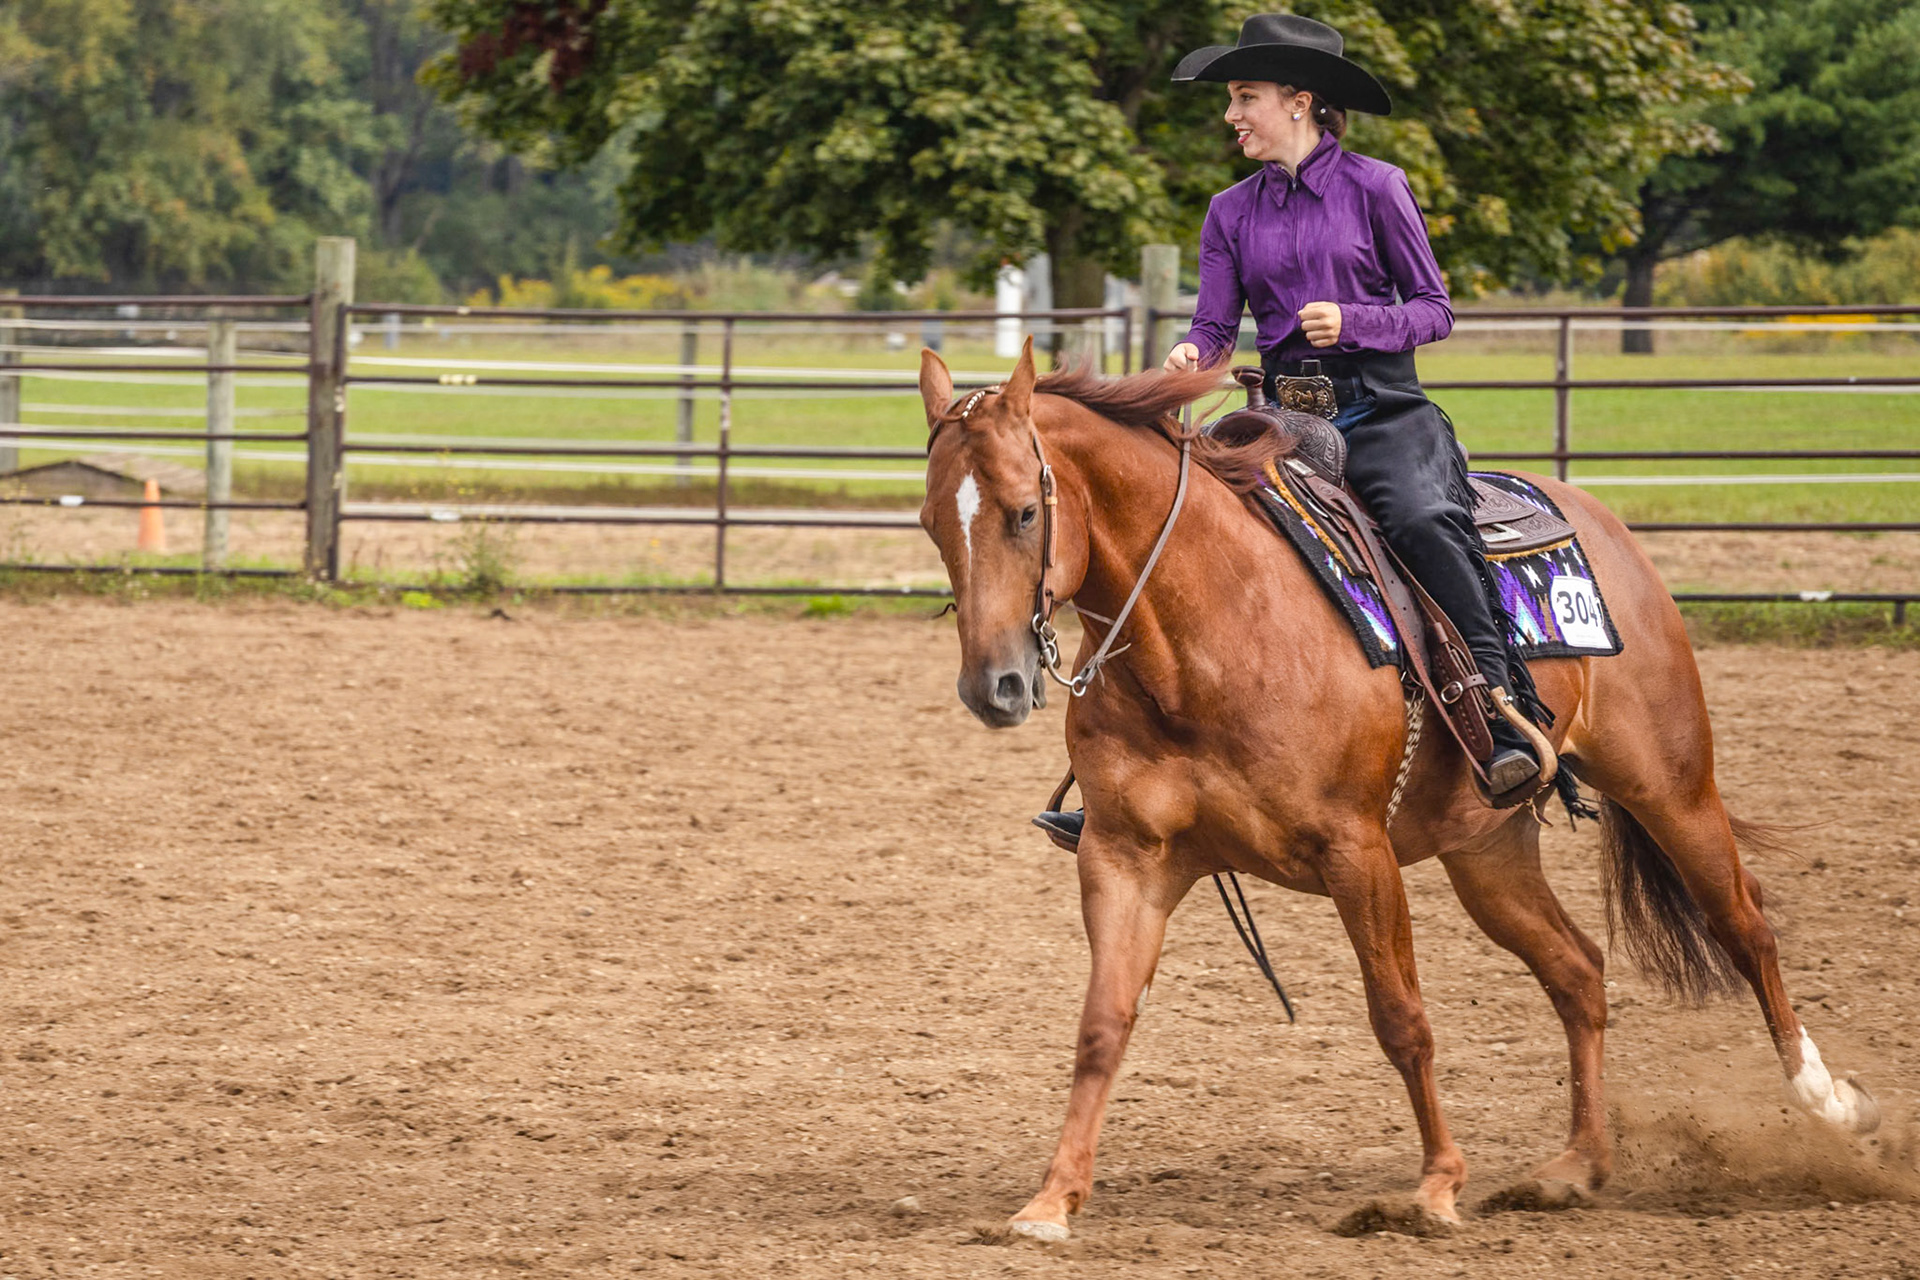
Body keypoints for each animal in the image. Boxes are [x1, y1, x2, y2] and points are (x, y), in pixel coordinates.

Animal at [915, 339, 1879, 1241]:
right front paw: (1051, 1200)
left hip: (1670, 783)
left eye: (1026, 511)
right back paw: (1575, 1165)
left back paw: (1828, 1101)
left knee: (1743, 922)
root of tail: (1598, 521)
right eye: (930, 523)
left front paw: (1435, 1187)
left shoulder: (1357, 851)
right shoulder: (1125, 857)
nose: (994, 686)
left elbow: (1401, 1017)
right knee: (1578, 970)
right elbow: (1102, 1024)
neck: (1200, 634)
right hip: (1486, 851)